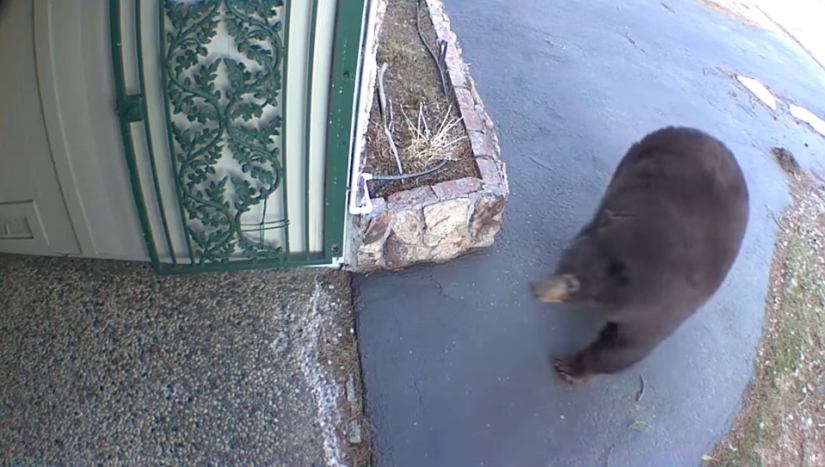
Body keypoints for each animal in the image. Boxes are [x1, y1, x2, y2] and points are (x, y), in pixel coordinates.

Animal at [531, 126, 750, 385]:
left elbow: (628, 347)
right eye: (562, 264)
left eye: (572, 284)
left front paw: (570, 368)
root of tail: (709, 137)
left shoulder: (664, 308)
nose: (536, 289)